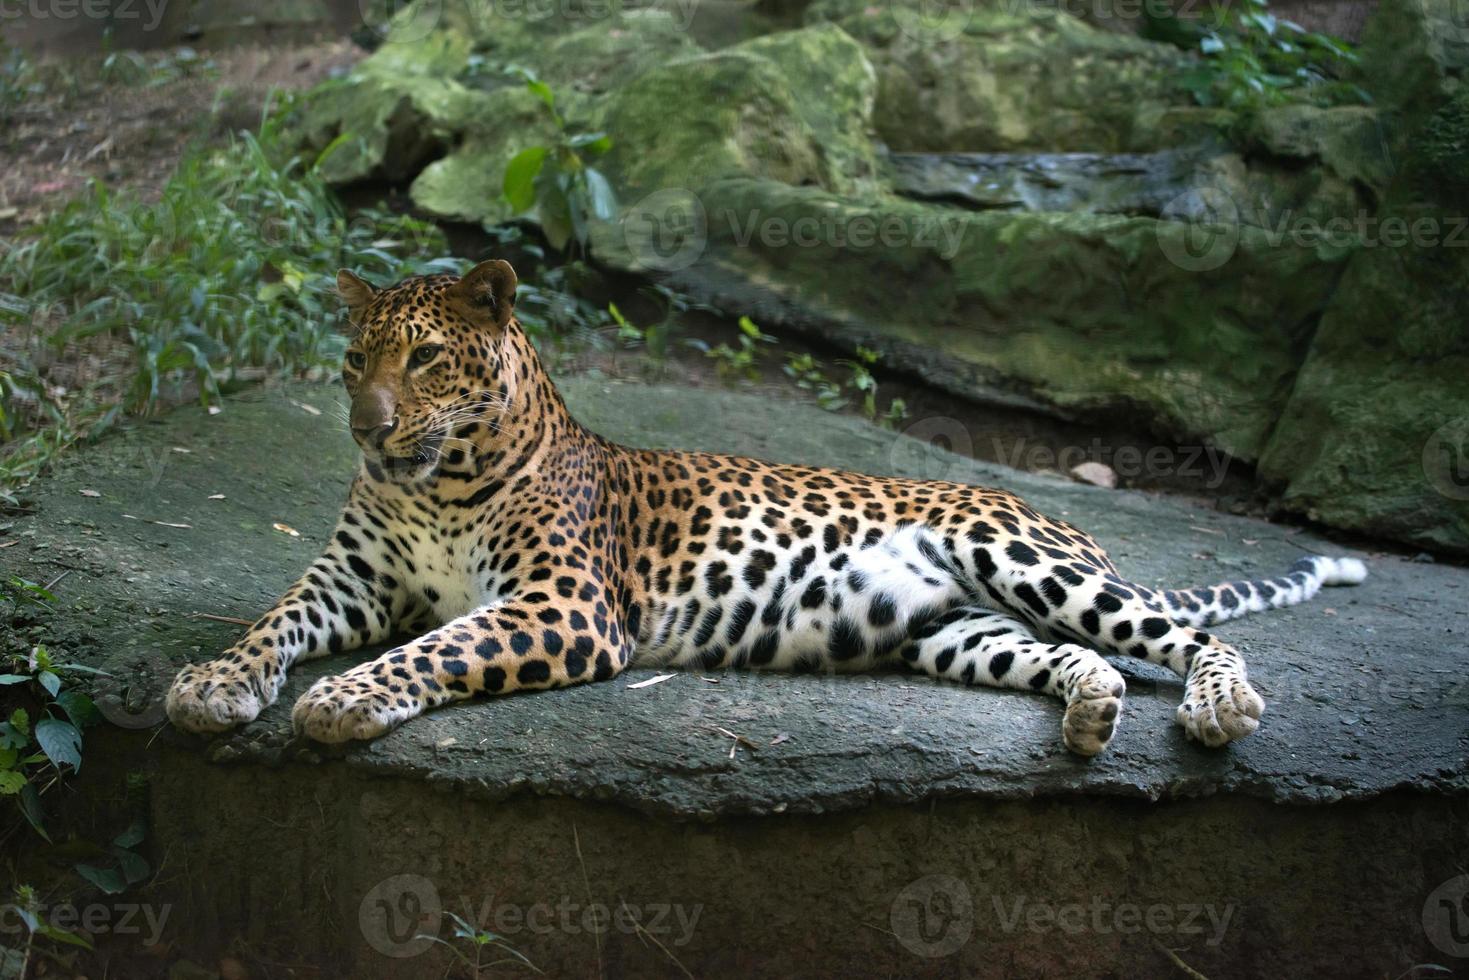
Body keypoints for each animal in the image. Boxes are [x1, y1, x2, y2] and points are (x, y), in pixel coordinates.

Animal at [166, 257, 1369, 758]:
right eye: (352, 360)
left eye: (421, 358)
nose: (367, 429)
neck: (437, 480)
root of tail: (1056, 514)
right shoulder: (351, 578)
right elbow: (273, 621)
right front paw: (214, 684)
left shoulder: (561, 605)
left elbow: (436, 646)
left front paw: (343, 698)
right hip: (958, 629)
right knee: (1082, 657)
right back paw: (1089, 717)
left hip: (1026, 558)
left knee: (1189, 634)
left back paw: (1219, 706)